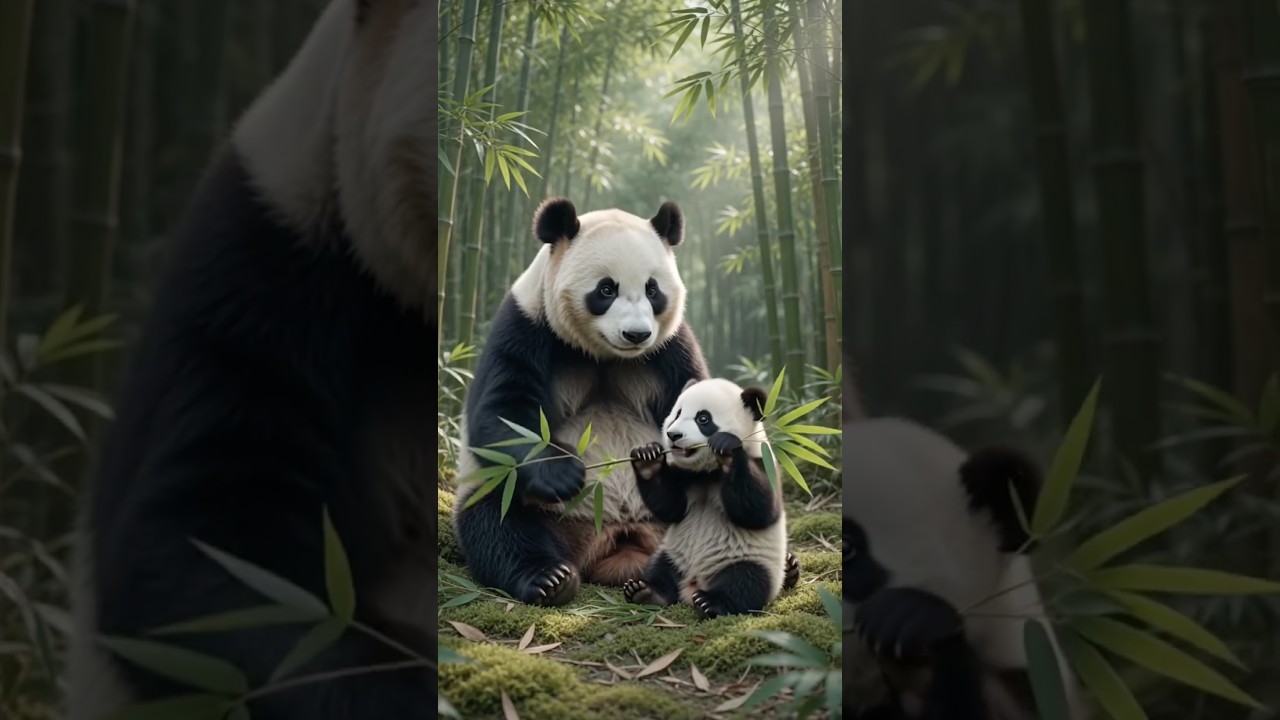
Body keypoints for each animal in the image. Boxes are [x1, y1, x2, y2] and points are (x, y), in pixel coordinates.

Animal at [452, 196, 710, 607]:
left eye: (653, 290)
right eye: (606, 290)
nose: (636, 334)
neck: (604, 354)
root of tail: (619, 538)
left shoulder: (671, 346)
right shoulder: (526, 326)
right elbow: (502, 412)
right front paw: (564, 473)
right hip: (526, 502)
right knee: (496, 520)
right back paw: (550, 578)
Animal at [621, 378, 801, 618]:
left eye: (703, 419)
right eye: (677, 414)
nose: (673, 435)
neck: (708, 472)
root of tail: (693, 585)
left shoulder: (764, 463)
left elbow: (759, 510)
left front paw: (726, 447)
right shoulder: (687, 476)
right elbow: (670, 507)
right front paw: (647, 458)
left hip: (750, 559)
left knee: (746, 581)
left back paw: (712, 602)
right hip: (673, 552)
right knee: (660, 568)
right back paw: (646, 592)